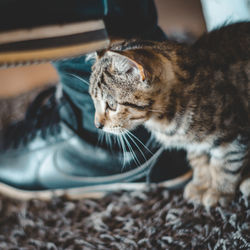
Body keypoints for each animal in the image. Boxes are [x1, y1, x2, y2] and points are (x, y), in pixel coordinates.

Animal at [89, 22, 250, 207]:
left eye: (112, 105)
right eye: (93, 100)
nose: (97, 125)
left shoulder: (233, 130)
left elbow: (225, 163)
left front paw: (218, 191)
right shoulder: (194, 145)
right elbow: (199, 161)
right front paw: (200, 185)